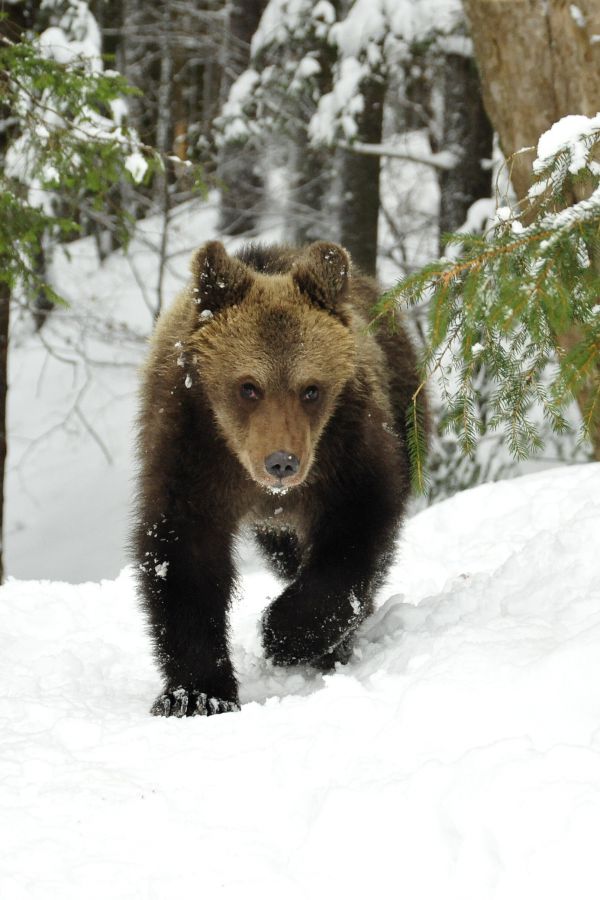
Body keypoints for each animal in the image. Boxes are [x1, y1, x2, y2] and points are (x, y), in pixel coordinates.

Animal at [134, 239, 426, 716]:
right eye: (248, 386)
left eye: (311, 389)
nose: (282, 462)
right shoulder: (193, 458)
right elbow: (184, 560)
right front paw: (196, 694)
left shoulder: (346, 452)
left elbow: (355, 537)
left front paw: (285, 634)